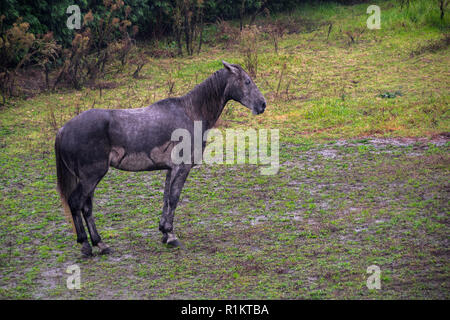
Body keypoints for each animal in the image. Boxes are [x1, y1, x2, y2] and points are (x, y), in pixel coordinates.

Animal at [56, 60, 268, 258]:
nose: (263, 104)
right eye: (247, 81)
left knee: (87, 208)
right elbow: (174, 199)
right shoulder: (182, 168)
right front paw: (171, 235)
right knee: (76, 203)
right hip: (91, 177)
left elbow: (166, 198)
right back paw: (86, 245)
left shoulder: (170, 169)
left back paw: (100, 244)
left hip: (90, 179)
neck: (190, 112)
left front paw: (164, 233)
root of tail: (63, 130)